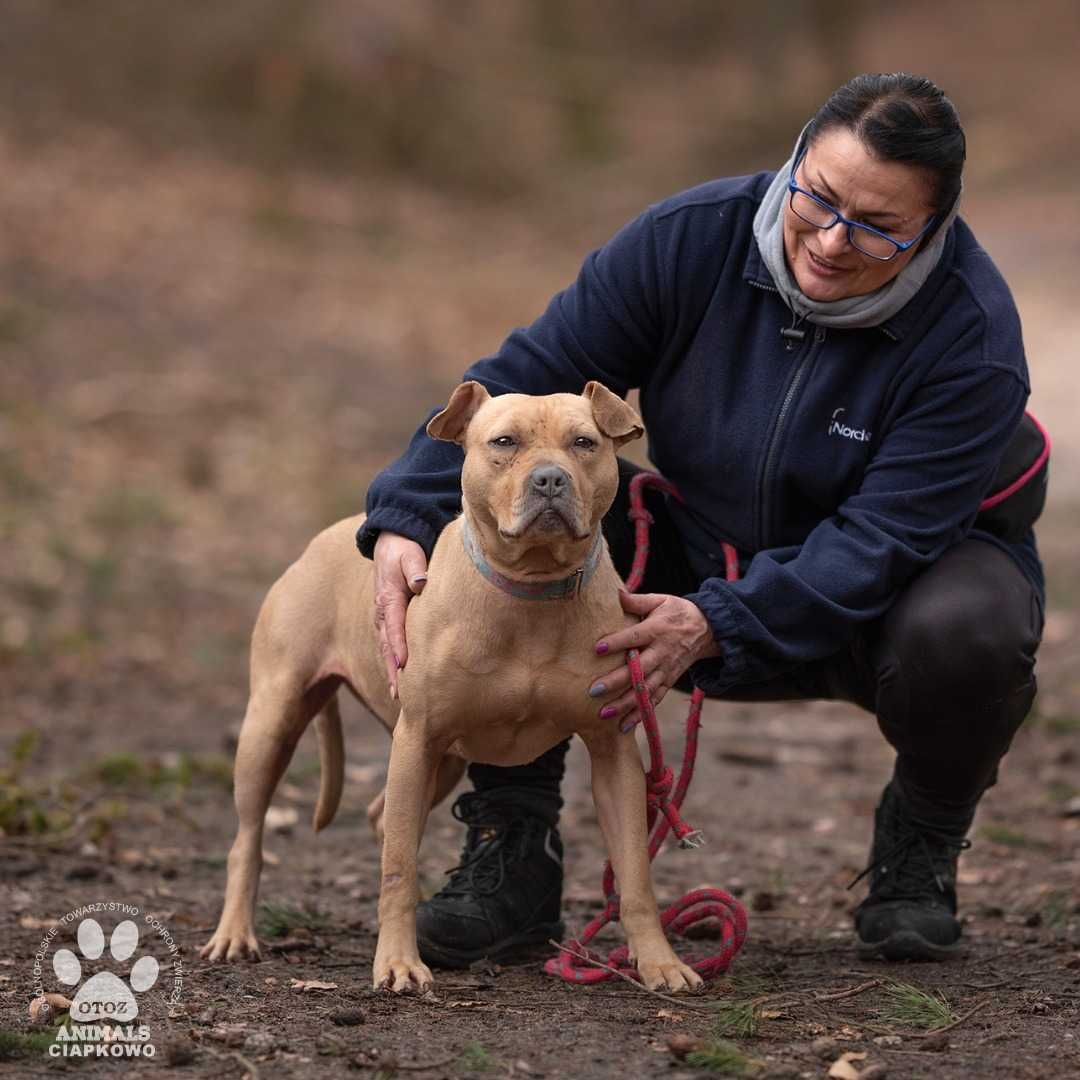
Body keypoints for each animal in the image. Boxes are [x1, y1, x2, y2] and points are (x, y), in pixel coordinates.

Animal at [201, 382, 704, 993]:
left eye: (584, 443)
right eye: (504, 442)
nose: (550, 479)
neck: (531, 591)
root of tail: (323, 538)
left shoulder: (613, 753)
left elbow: (634, 873)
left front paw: (659, 961)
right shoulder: (417, 737)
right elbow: (395, 867)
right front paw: (397, 962)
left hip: (441, 761)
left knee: (382, 817)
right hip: (276, 725)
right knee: (249, 839)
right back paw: (235, 932)